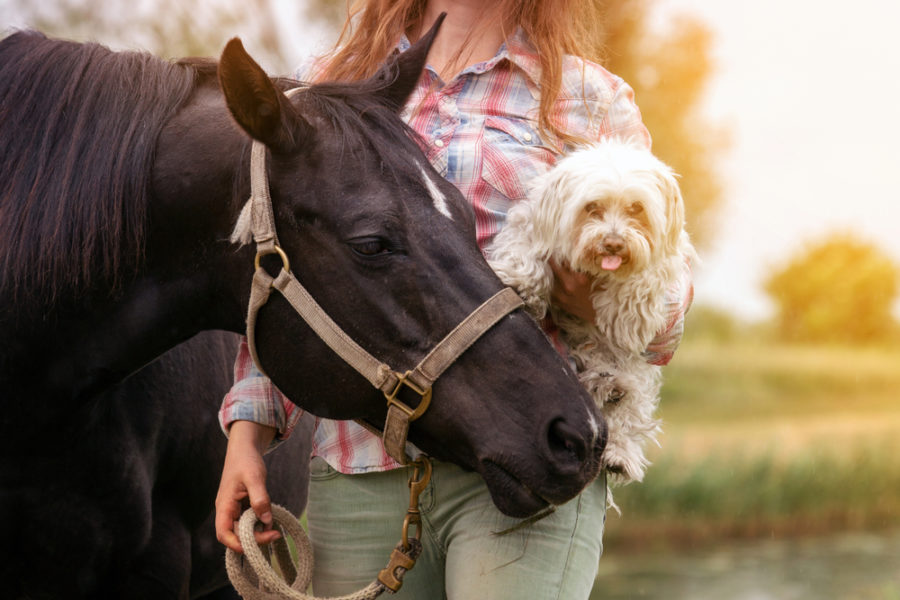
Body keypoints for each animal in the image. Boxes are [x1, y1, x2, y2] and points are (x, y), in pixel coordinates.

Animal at [488, 137, 692, 482]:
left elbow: (644, 279)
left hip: (637, 376)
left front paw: (627, 314)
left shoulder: (665, 264)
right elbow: (525, 249)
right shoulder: (532, 223)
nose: (613, 243)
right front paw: (521, 281)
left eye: (636, 209)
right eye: (592, 207)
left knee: (628, 410)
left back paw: (618, 442)